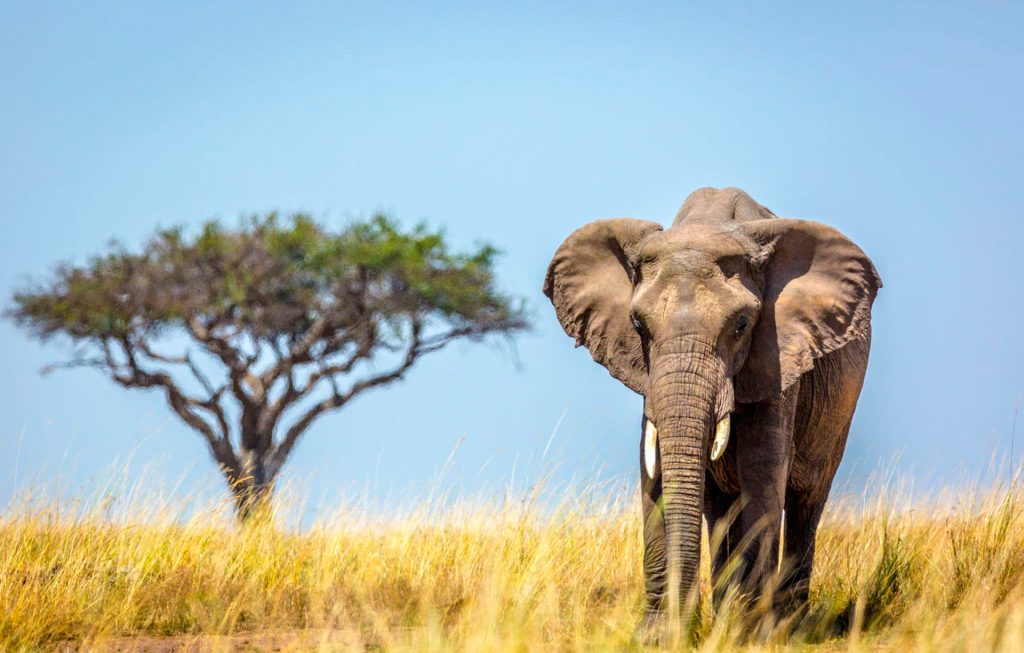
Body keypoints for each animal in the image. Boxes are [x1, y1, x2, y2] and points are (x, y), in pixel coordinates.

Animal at [540, 188, 884, 634]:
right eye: (637, 326)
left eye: (741, 325)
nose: (683, 621)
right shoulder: (649, 377)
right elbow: (654, 471)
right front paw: (660, 635)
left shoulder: (777, 354)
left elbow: (763, 472)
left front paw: (750, 633)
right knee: (720, 512)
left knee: (807, 500)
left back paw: (789, 624)